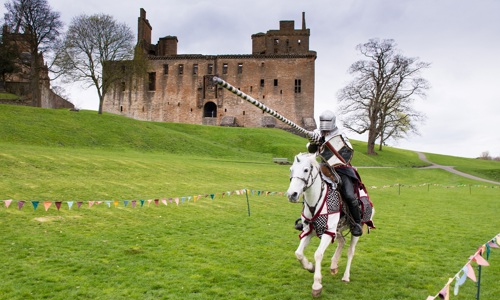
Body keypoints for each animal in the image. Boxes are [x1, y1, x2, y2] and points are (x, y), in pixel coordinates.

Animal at [288, 152, 374, 298]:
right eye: (291, 170)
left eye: (306, 170)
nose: (291, 195)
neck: (315, 201)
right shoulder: (309, 230)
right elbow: (298, 253)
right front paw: (310, 267)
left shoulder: (327, 233)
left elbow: (318, 254)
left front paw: (317, 285)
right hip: (337, 229)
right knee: (342, 241)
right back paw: (334, 266)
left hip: (355, 231)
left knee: (350, 251)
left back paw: (346, 276)